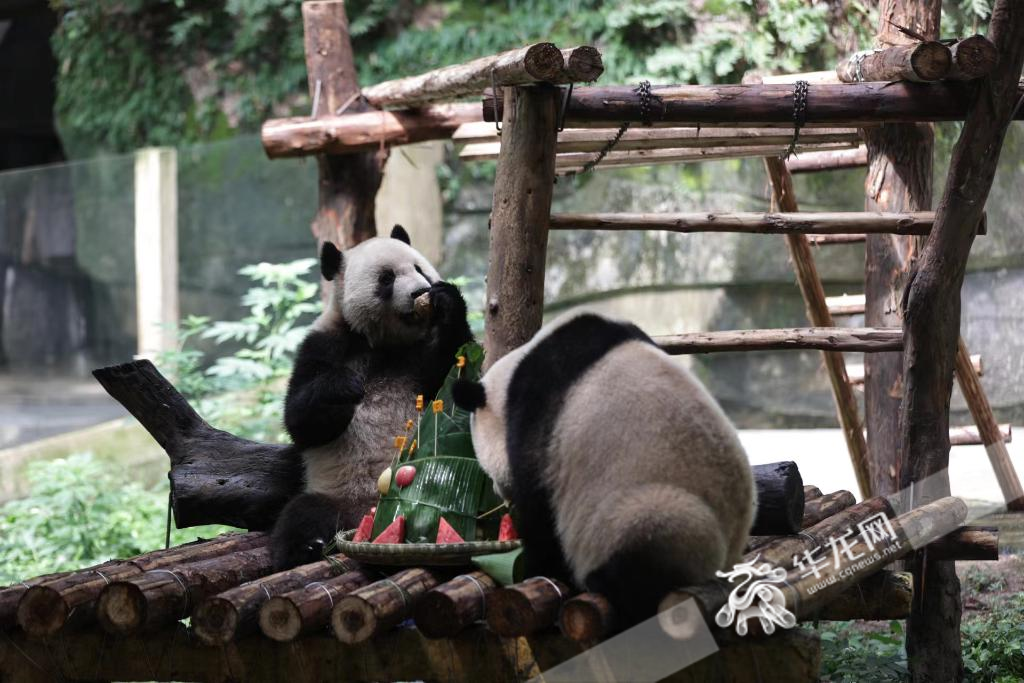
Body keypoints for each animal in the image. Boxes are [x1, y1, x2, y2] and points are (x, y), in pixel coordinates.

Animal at [266, 225, 468, 573]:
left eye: (419, 269)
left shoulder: (422, 357)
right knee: (301, 513)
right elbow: (300, 422)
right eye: (386, 278)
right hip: (333, 495)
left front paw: (447, 304)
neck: (384, 344)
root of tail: (369, 513)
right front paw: (343, 389)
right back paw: (304, 548)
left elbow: (454, 383)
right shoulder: (325, 343)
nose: (419, 292)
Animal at [452, 313, 757, 626]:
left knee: (646, 547)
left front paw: (539, 569)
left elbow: (539, 504)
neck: (512, 374)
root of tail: (727, 562)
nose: (498, 492)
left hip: (653, 518)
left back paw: (606, 582)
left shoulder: (537, 409)